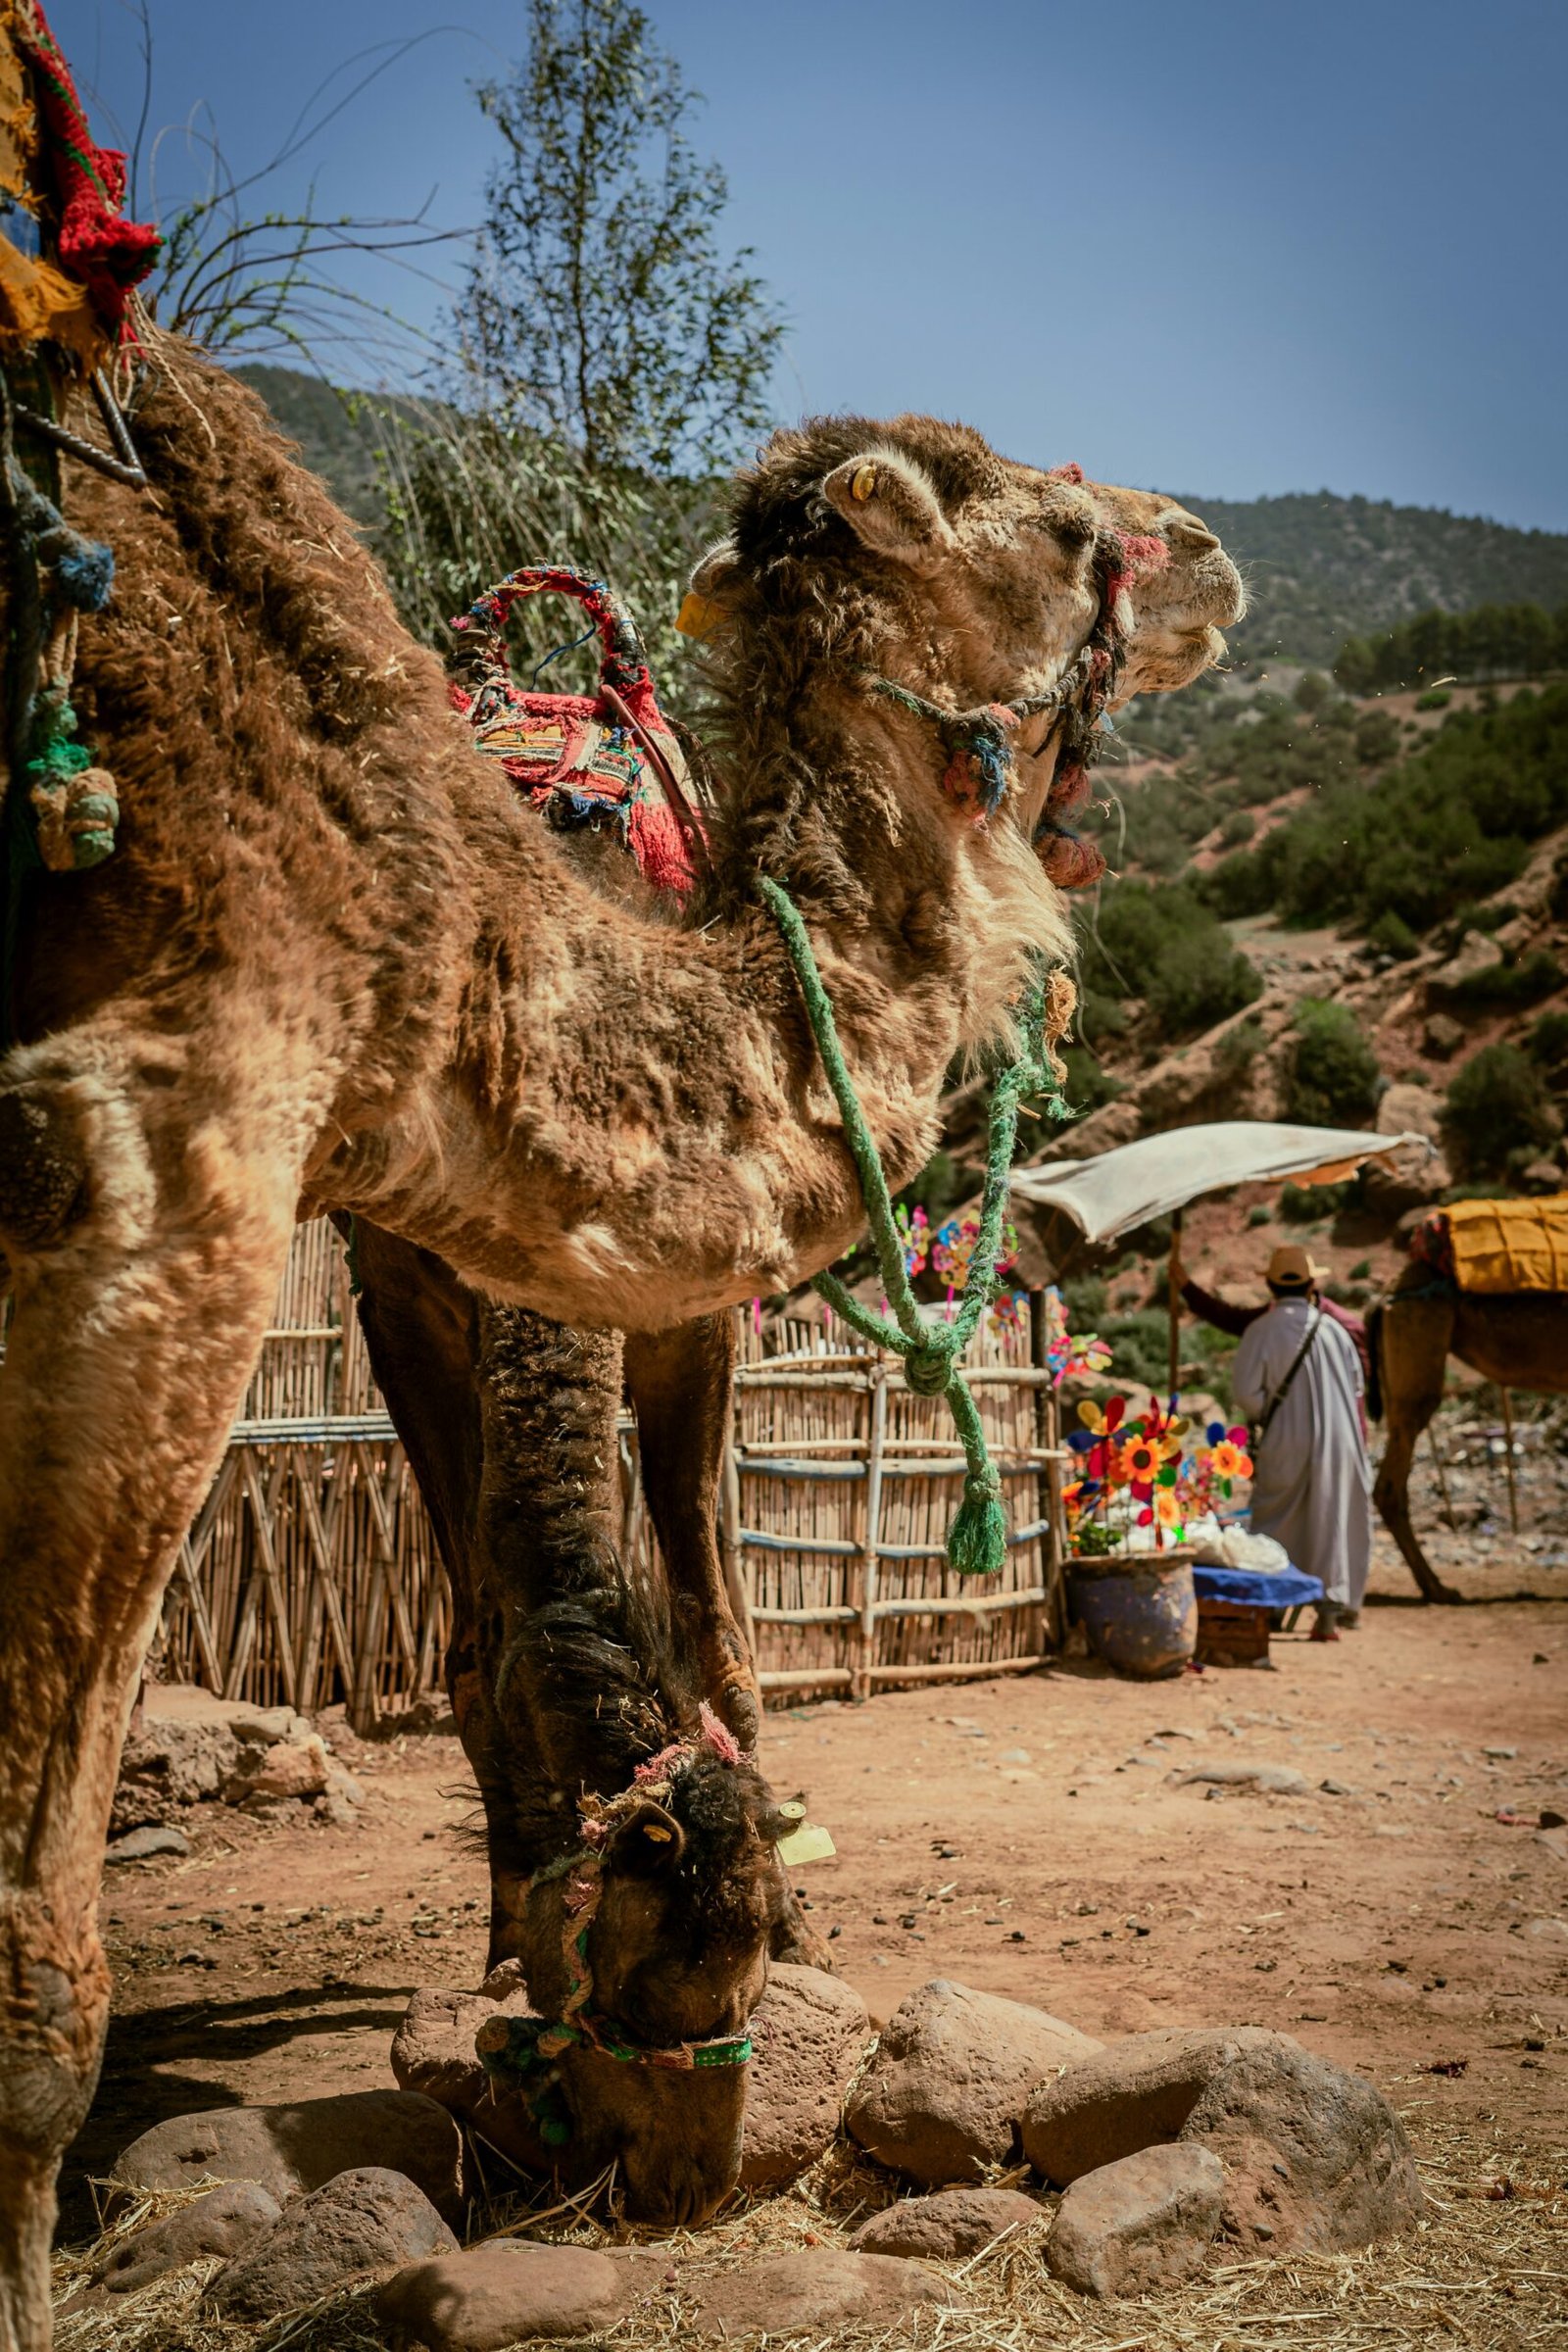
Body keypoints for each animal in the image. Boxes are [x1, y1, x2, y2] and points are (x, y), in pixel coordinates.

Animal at [0, 329, 1242, 2337]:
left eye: (731, 1951)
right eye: (1065, 532)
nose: (1206, 547)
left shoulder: (651, 1308)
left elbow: (714, 1630)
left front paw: (797, 1883)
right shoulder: (213, 1201)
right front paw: (511, 1913)